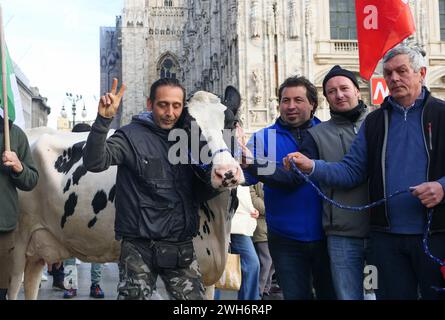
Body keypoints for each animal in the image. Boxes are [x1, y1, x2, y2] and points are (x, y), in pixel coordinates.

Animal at [7, 87, 243, 300]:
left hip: (37, 248)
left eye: (231, 123)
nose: (226, 172)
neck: (219, 222)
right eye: (186, 128)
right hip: (15, 245)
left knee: (31, 283)